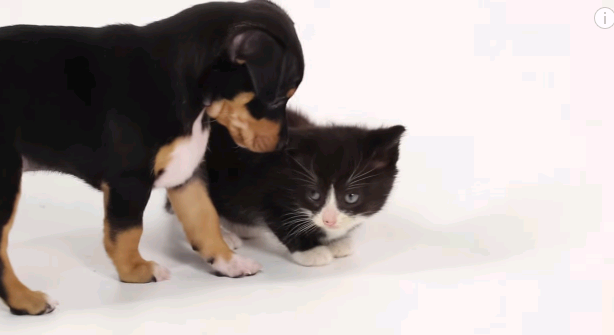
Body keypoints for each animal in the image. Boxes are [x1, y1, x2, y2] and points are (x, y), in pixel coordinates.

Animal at [0, 0, 306, 316]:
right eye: (276, 98)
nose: (283, 143)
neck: (186, 88)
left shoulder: (187, 172)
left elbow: (204, 219)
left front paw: (227, 262)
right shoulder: (130, 181)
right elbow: (126, 232)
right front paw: (135, 272)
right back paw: (26, 301)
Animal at [166, 110, 406, 268]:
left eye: (351, 196)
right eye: (314, 194)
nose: (329, 220)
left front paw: (337, 241)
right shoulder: (267, 191)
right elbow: (283, 221)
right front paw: (312, 251)